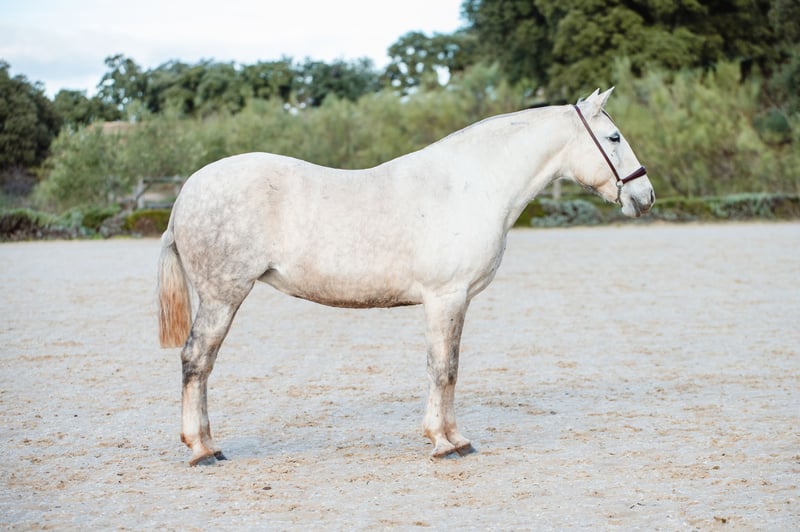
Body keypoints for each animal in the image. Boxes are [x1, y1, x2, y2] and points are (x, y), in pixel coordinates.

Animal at [157, 88, 655, 466]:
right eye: (613, 136)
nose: (645, 195)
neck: (470, 186)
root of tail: (186, 194)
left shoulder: (455, 301)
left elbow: (448, 367)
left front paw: (456, 438)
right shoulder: (445, 297)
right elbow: (444, 369)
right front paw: (444, 443)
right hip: (222, 296)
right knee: (197, 361)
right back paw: (202, 450)